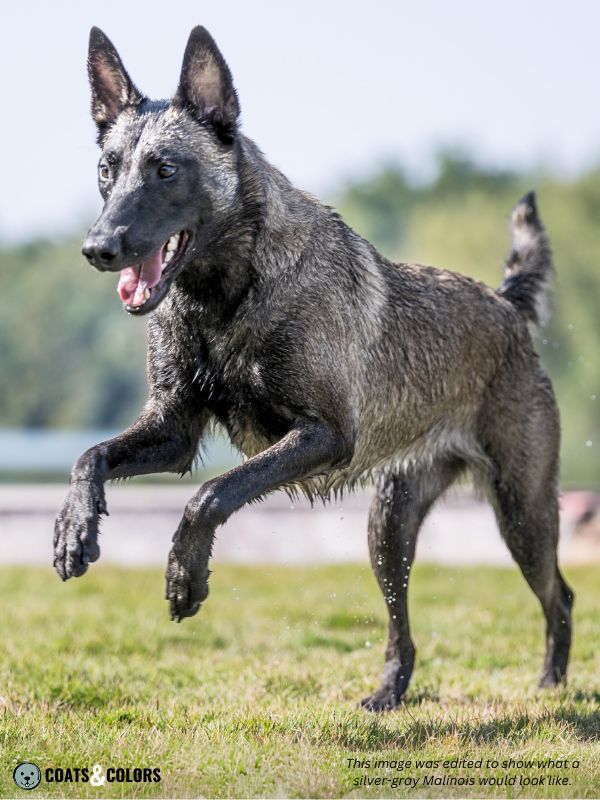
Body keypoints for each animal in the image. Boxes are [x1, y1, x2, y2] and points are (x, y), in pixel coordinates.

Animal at [54, 28, 576, 708]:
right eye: (106, 170)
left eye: (166, 169)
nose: (97, 249)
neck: (227, 293)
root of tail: (505, 302)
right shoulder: (173, 433)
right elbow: (90, 457)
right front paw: (73, 529)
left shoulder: (323, 434)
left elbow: (211, 495)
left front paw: (183, 578)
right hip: (389, 529)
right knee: (402, 627)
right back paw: (388, 695)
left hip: (522, 510)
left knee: (560, 595)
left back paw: (551, 684)